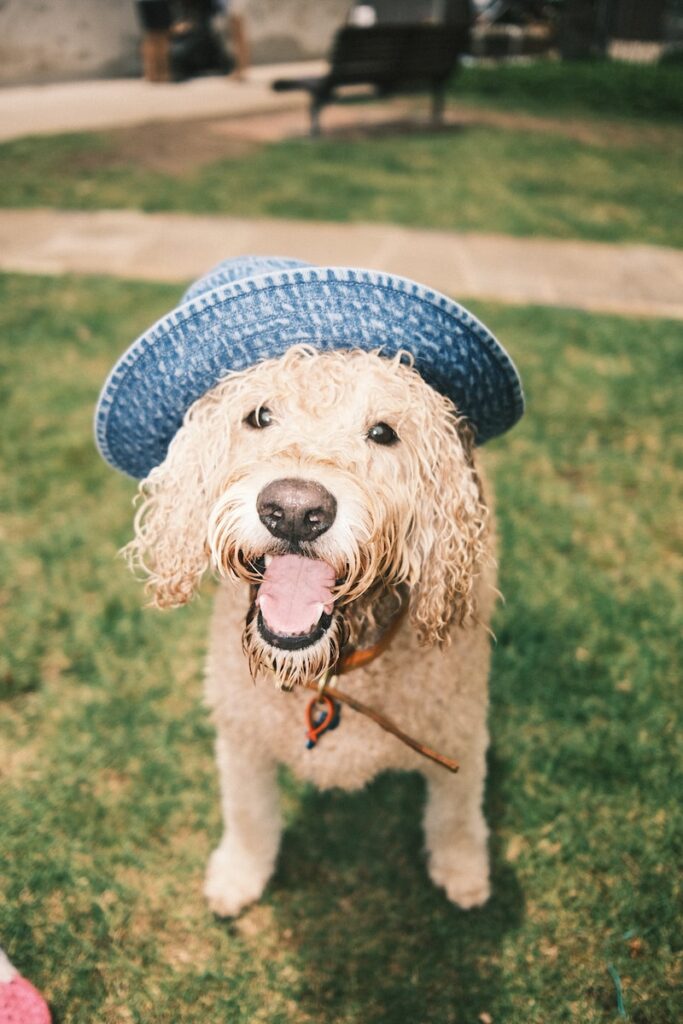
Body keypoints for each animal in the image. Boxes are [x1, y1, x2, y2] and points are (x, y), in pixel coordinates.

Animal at [96, 256, 524, 921]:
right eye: (259, 416)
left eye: (383, 432)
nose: (295, 511)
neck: (333, 672)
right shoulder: (242, 739)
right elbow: (249, 815)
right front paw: (239, 874)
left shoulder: (459, 733)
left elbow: (455, 814)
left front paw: (463, 870)